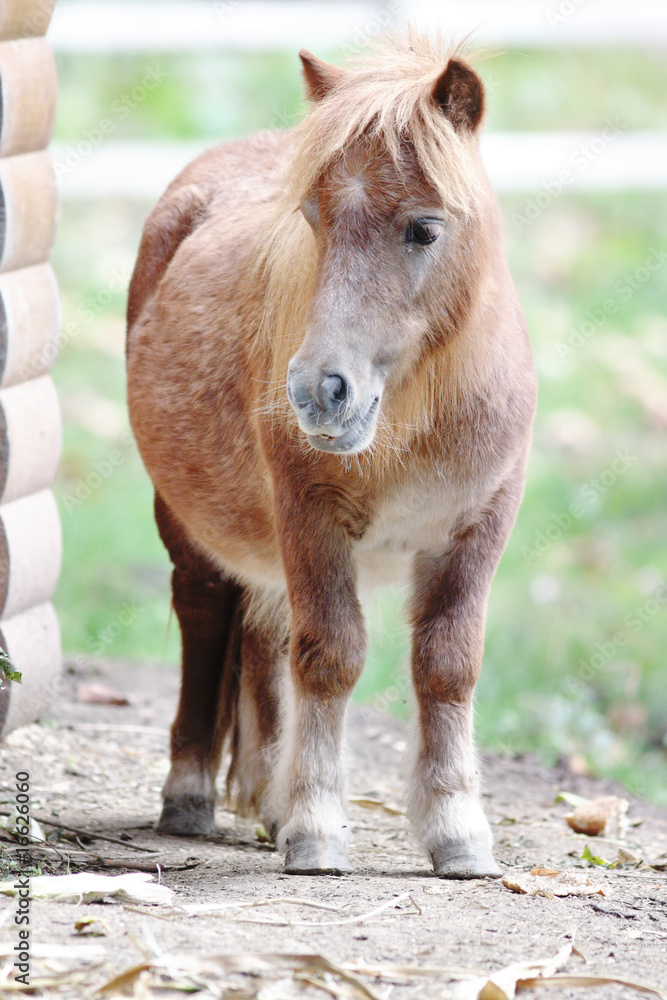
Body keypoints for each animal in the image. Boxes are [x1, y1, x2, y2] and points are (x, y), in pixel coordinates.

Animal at [126, 31, 536, 878]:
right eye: (313, 216)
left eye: (424, 228)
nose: (319, 390)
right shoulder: (311, 520)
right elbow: (330, 656)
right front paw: (316, 829)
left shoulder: (476, 527)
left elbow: (447, 666)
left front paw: (457, 832)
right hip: (188, 521)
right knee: (205, 612)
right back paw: (191, 796)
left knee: (262, 632)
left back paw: (266, 798)